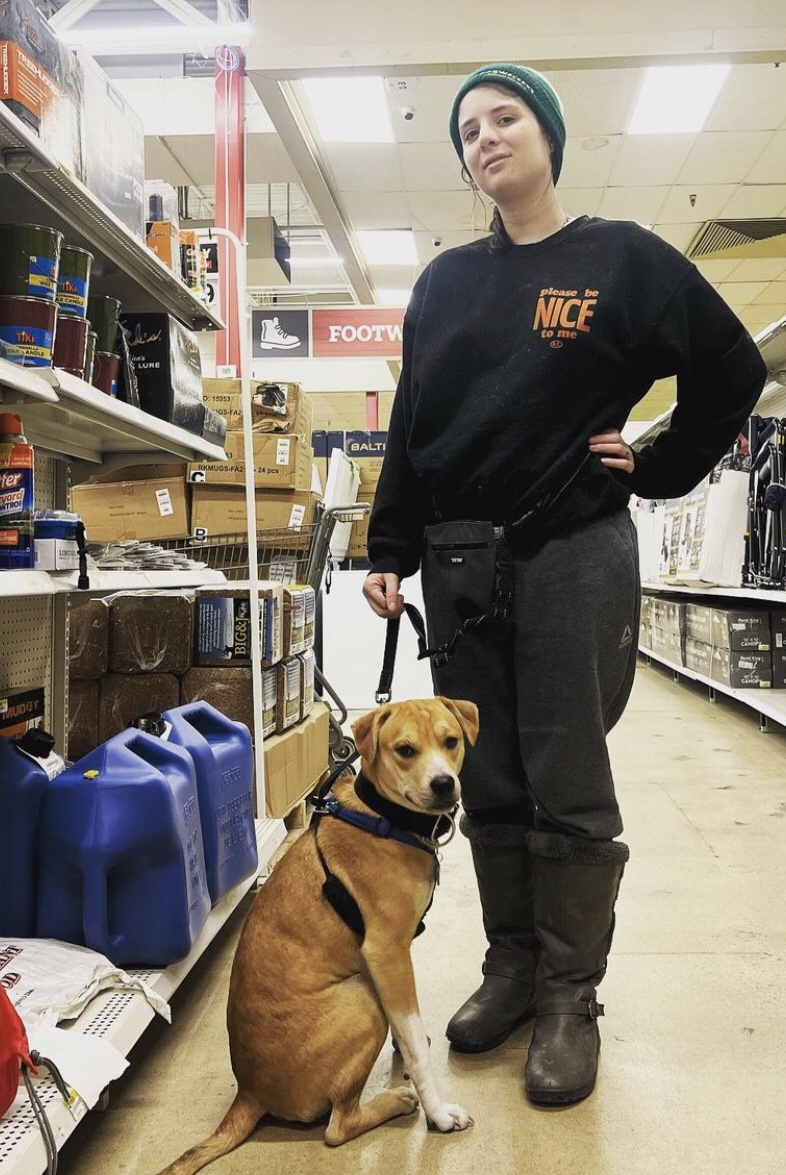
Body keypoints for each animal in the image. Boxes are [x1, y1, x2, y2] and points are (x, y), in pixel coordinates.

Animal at [156, 695, 479, 1175]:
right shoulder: (386, 953)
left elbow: (408, 1031)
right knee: (337, 1127)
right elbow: (418, 1053)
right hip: (361, 1001)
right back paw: (393, 1103)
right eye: (405, 750)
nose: (444, 784)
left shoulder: (392, 961)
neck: (385, 817)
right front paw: (438, 1113)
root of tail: (249, 1091)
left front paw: (409, 1042)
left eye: (451, 741)